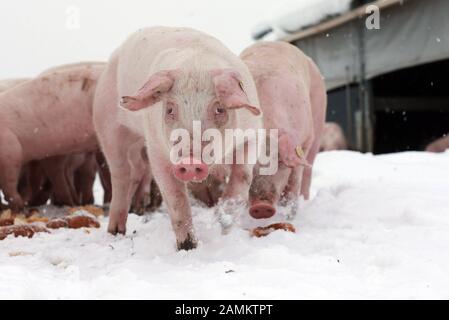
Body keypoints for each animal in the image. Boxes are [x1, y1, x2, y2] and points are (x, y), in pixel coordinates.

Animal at [242, 41, 326, 219]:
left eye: (280, 161)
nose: (261, 206)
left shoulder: (305, 140)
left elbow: (295, 180)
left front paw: (290, 215)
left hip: (318, 122)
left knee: (308, 171)